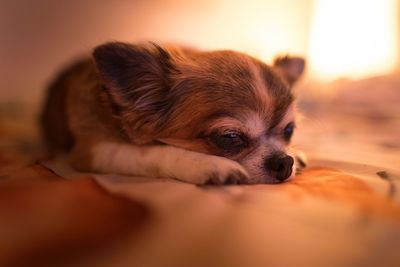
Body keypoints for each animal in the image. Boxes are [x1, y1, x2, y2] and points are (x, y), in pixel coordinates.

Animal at [40, 42, 304, 185]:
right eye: (230, 137)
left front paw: (298, 153)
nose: (284, 162)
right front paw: (207, 164)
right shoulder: (93, 151)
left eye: (289, 130)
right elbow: (148, 152)